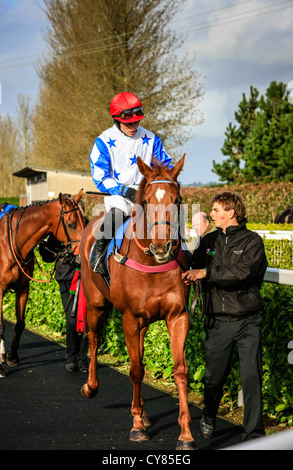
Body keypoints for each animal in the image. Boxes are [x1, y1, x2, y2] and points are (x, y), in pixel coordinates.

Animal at [0, 189, 85, 376]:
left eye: (85, 221)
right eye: (71, 225)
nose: (83, 256)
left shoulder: (23, 288)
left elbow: (20, 324)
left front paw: (12, 357)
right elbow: (1, 325)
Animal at [79, 156, 196, 450]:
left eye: (177, 199)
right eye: (145, 201)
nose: (161, 247)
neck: (151, 264)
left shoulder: (178, 316)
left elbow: (180, 371)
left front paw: (186, 434)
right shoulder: (129, 318)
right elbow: (134, 370)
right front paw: (137, 426)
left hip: (142, 323)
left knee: (140, 353)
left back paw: (144, 411)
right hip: (96, 303)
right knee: (94, 338)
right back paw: (91, 386)